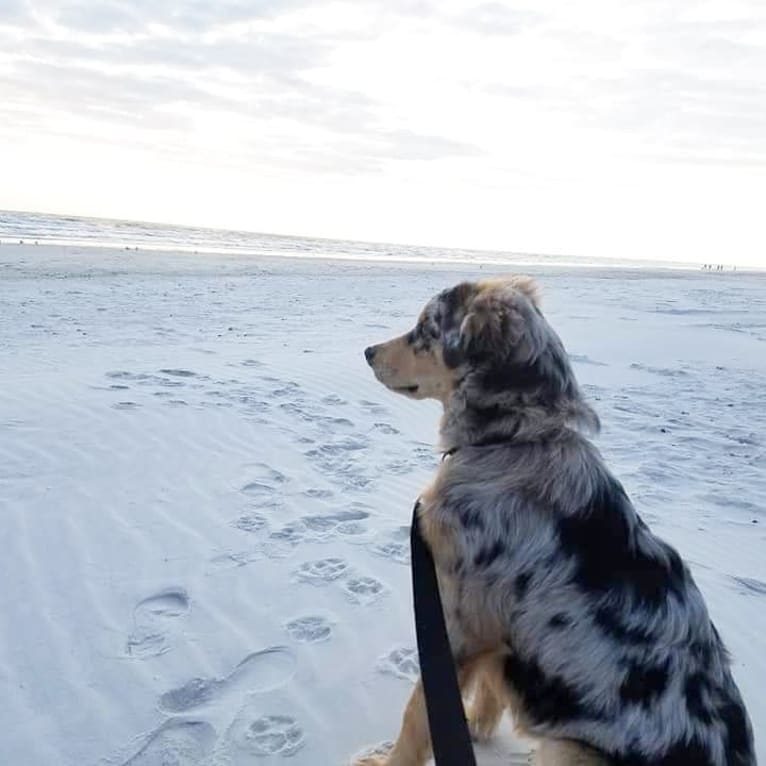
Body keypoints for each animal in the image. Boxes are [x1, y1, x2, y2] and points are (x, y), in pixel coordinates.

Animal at [358, 278, 756, 766]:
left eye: (427, 329)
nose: (368, 351)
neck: (511, 438)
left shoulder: (457, 624)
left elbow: (419, 715)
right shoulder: (495, 634)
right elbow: (489, 689)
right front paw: (477, 728)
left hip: (568, 749)